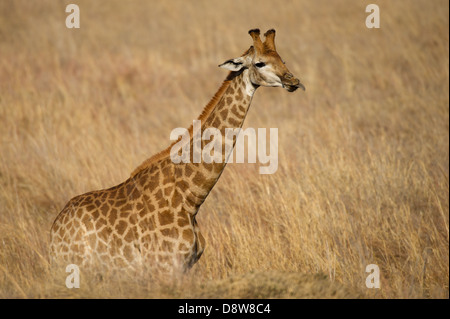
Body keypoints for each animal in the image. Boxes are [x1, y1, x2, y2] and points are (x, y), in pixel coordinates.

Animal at [50, 28, 306, 274]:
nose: (294, 82)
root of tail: (53, 231)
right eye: (259, 63)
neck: (189, 198)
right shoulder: (163, 265)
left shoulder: (185, 267)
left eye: (282, 59)